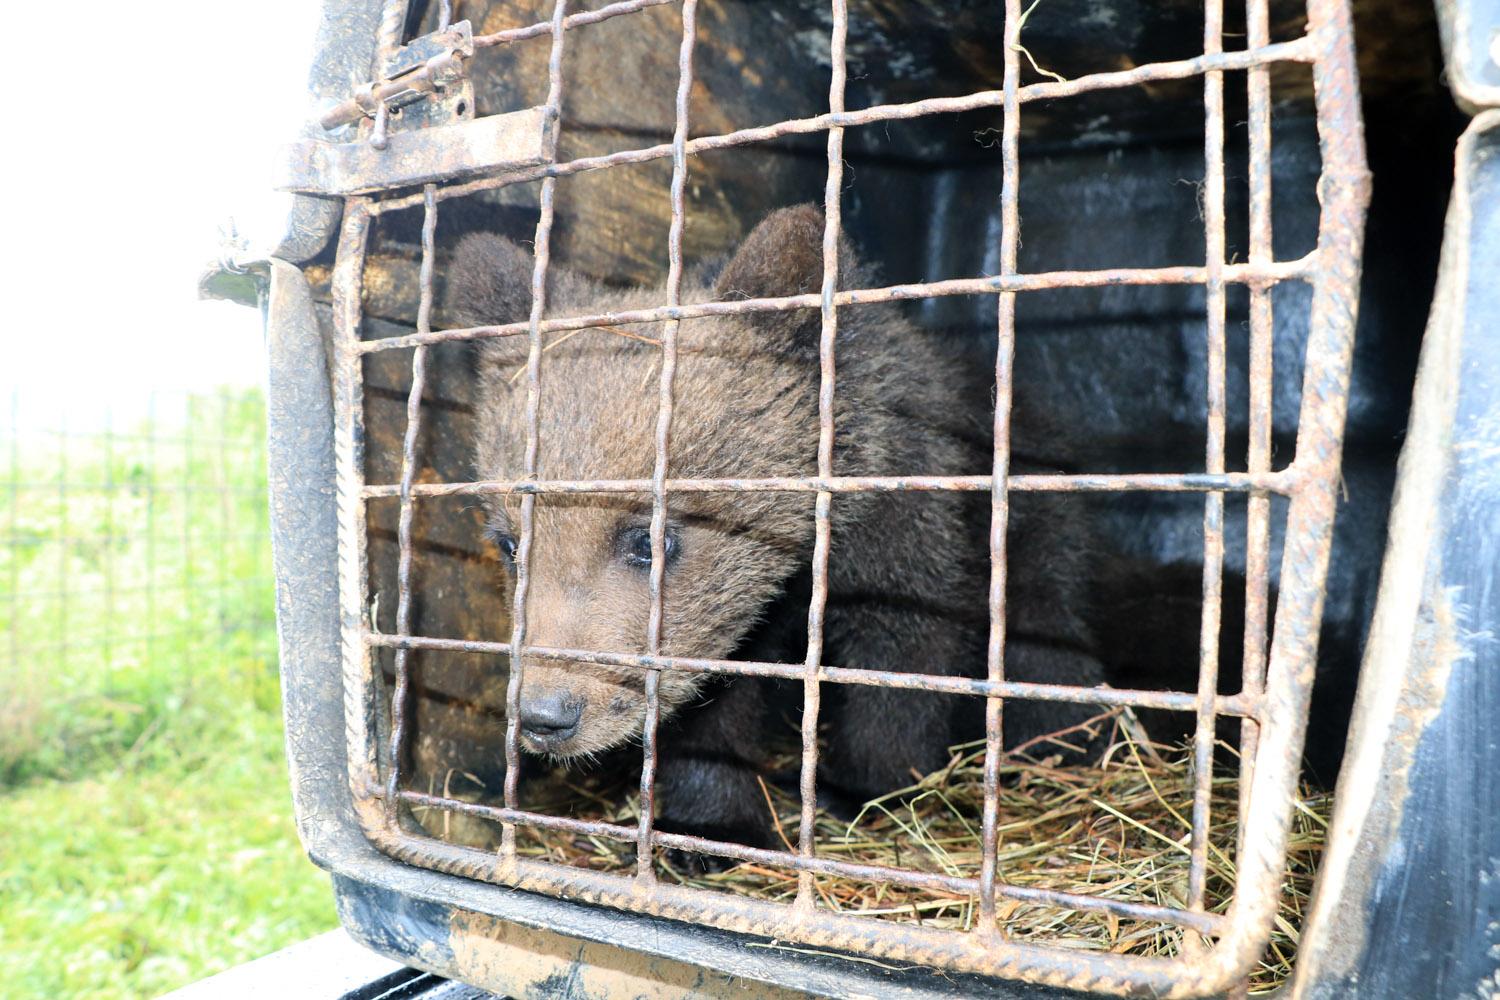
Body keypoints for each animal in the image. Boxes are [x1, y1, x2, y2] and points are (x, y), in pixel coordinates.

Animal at [441, 205, 1104, 863]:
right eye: (509, 544)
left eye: (647, 539)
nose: (546, 714)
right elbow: (711, 706)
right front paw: (710, 828)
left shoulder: (902, 537)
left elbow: (902, 665)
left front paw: (862, 790)